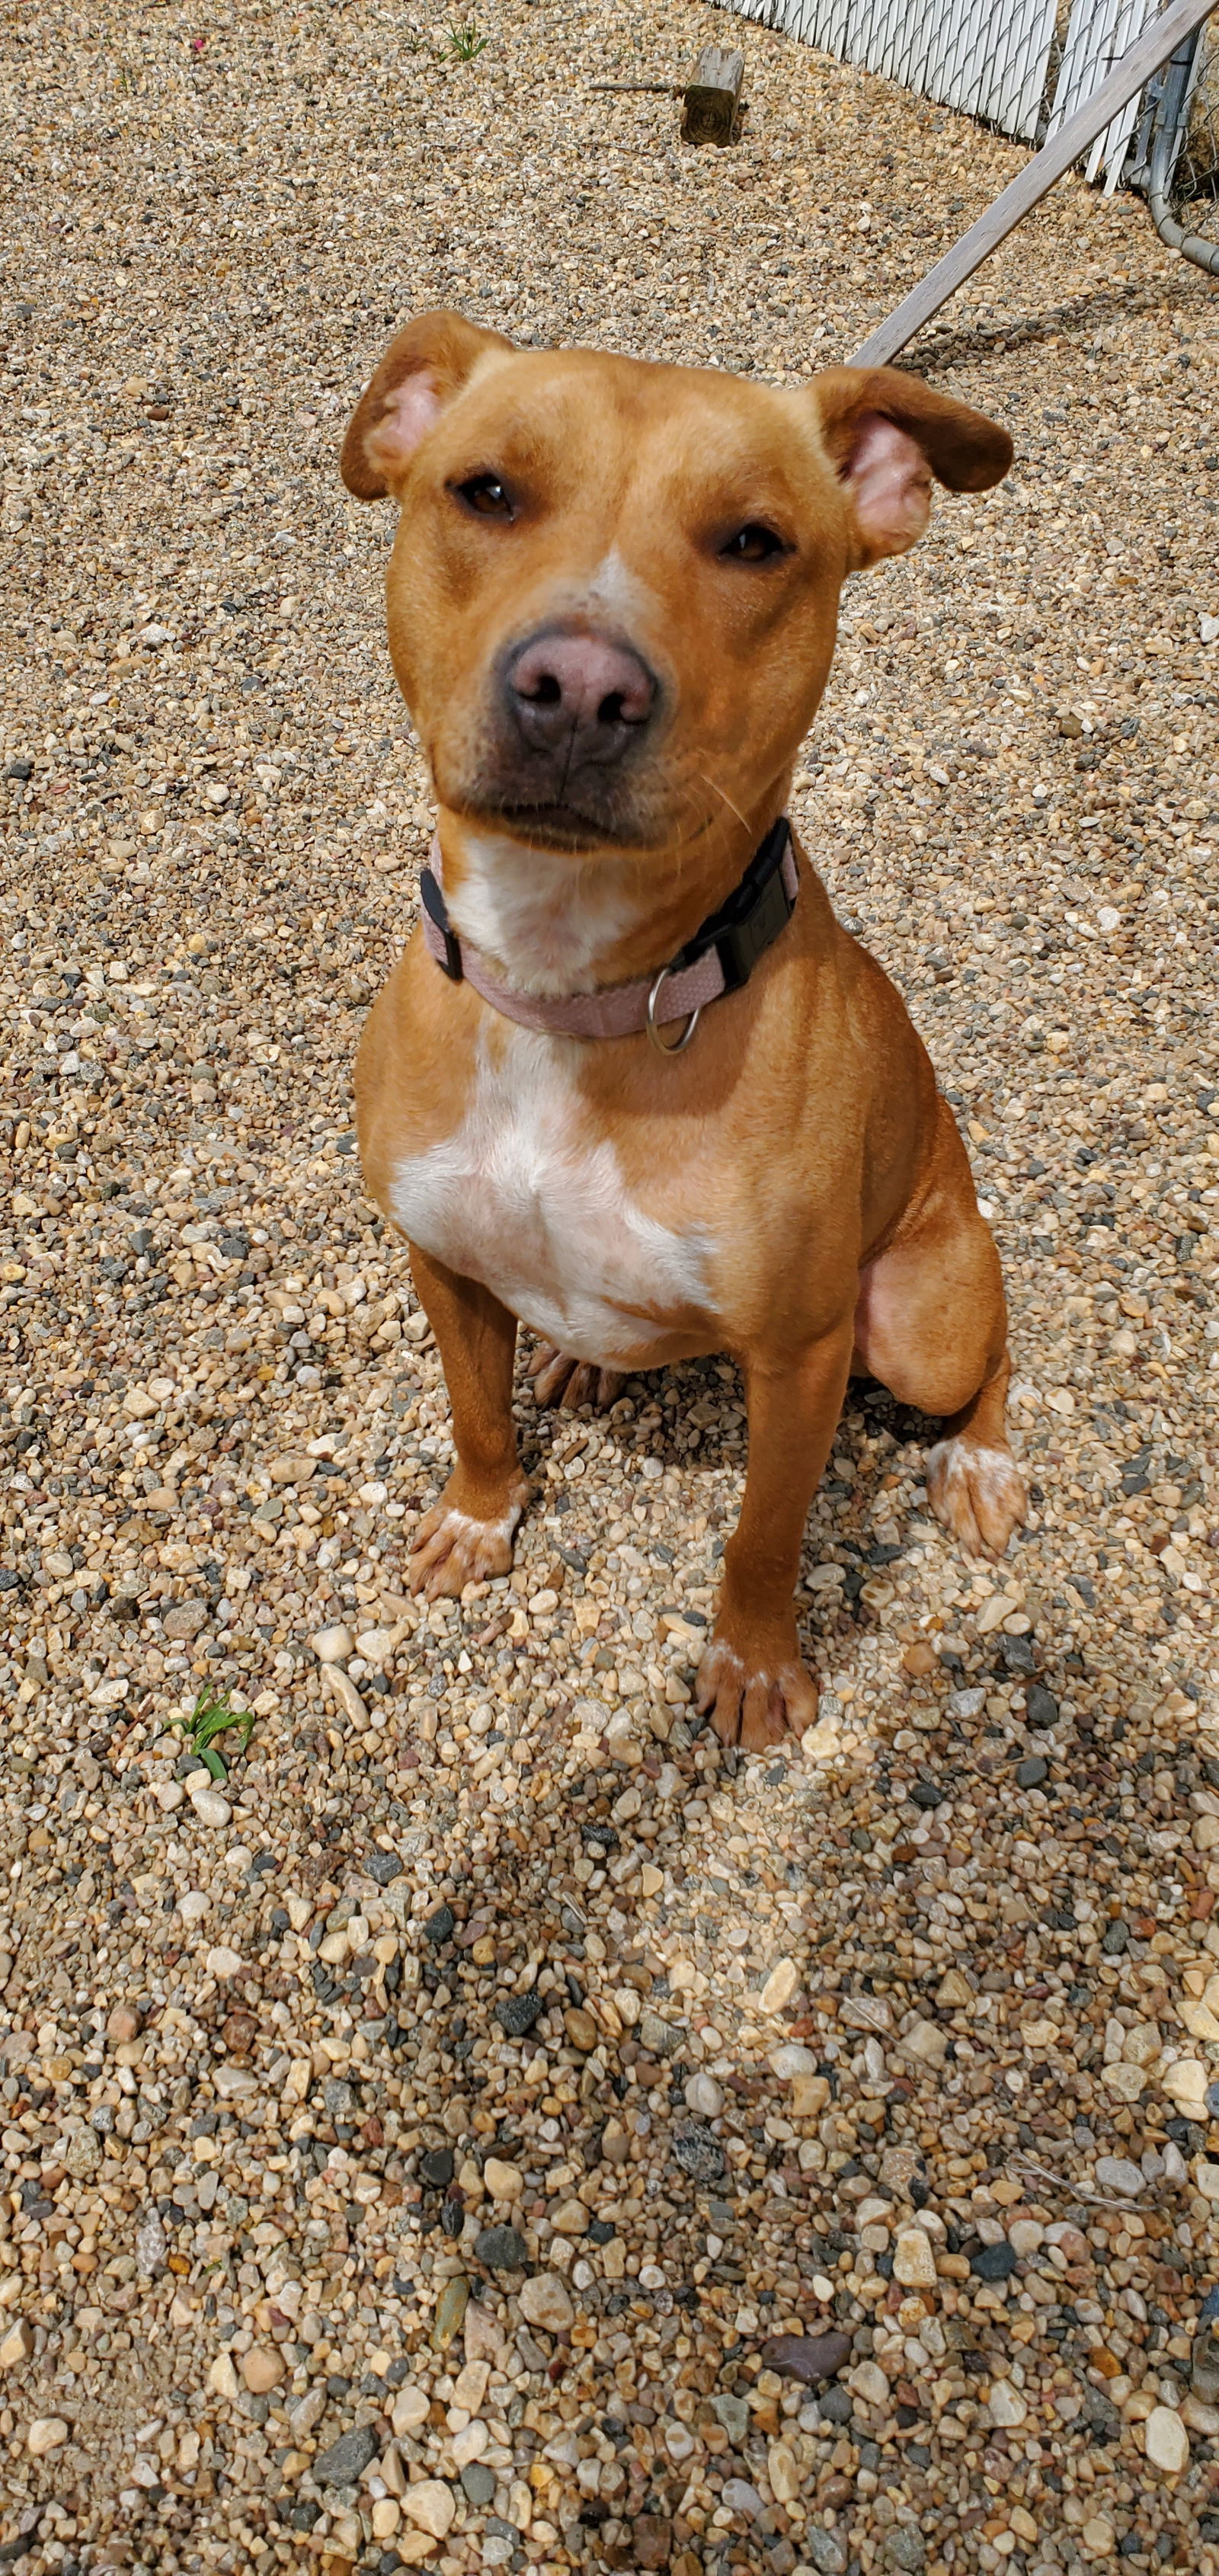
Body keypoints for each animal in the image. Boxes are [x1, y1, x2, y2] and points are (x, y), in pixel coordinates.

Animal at [342, 306, 1025, 1752]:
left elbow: (763, 1536)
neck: (569, 984)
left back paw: (984, 1464)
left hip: (921, 1311)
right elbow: (475, 1416)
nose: (578, 687)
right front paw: (479, 1518)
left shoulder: (802, 1353)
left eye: (755, 541)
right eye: (485, 491)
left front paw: (755, 1665)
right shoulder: (441, 1259)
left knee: (986, 1358)